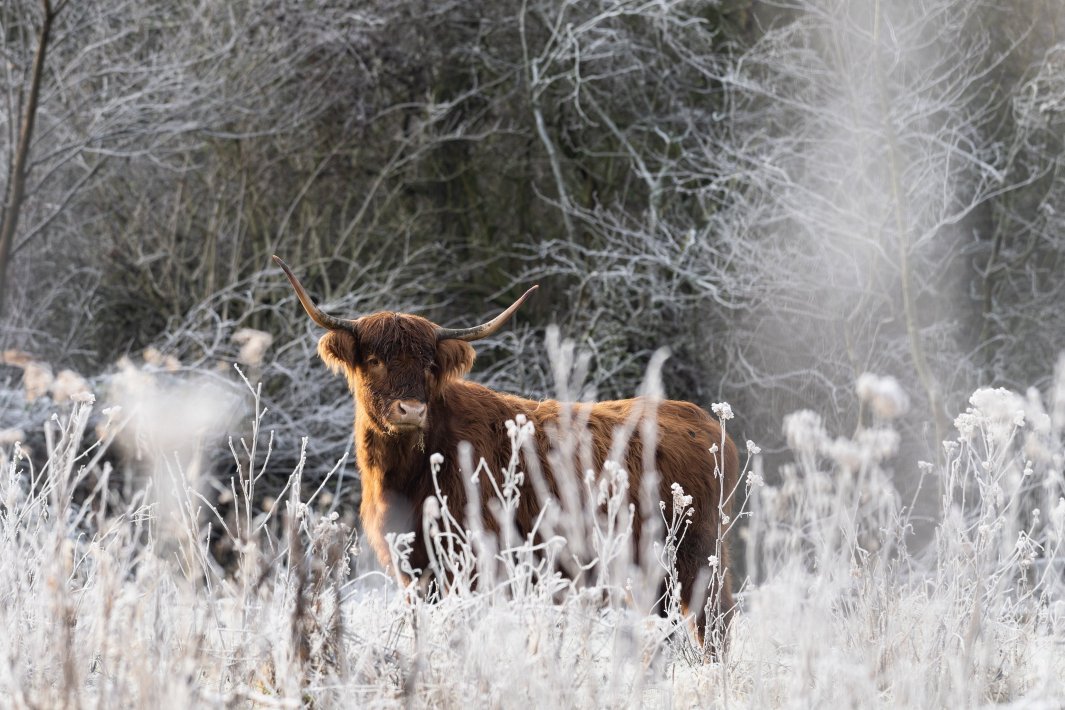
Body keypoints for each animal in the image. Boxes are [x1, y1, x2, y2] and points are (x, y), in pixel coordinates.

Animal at [274, 256, 736, 651]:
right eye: (373, 360)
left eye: (429, 365)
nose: (411, 410)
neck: (405, 475)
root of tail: (706, 421)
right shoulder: (416, 573)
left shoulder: (472, 566)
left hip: (697, 561)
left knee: (714, 627)